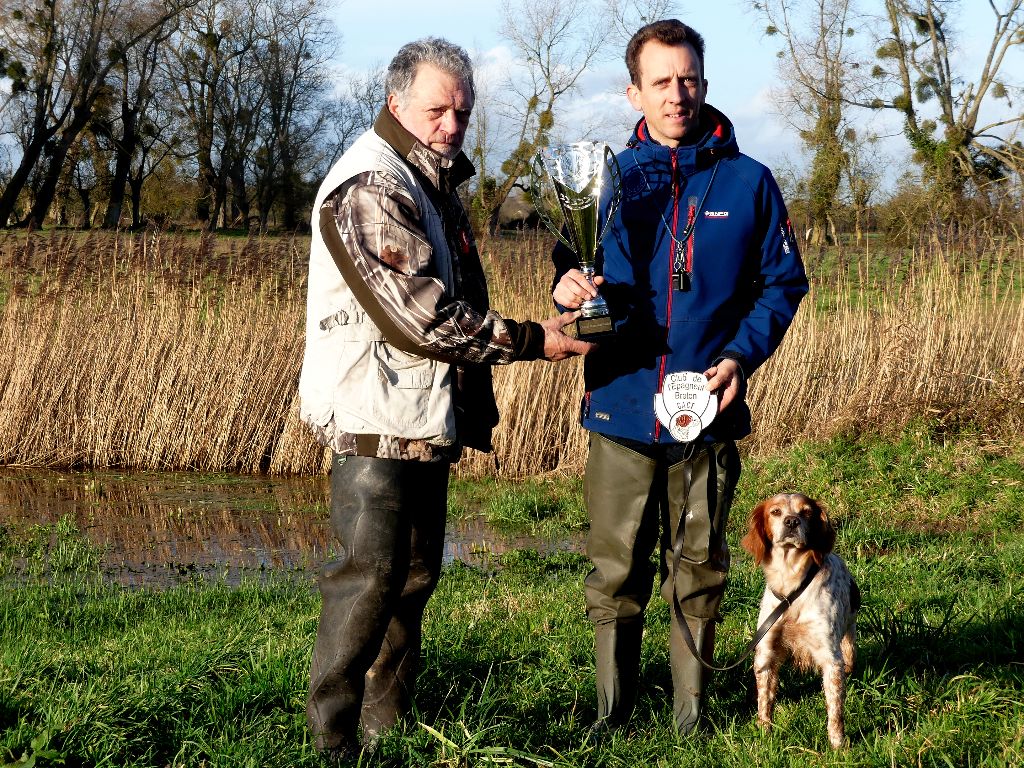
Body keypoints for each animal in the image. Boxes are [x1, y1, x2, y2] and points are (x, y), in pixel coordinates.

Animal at [740, 493, 860, 749]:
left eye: (806, 512)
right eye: (775, 512)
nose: (792, 521)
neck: (790, 585)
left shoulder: (830, 657)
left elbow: (835, 709)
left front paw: (838, 744)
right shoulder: (766, 652)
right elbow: (764, 700)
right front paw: (764, 733)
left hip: (848, 637)